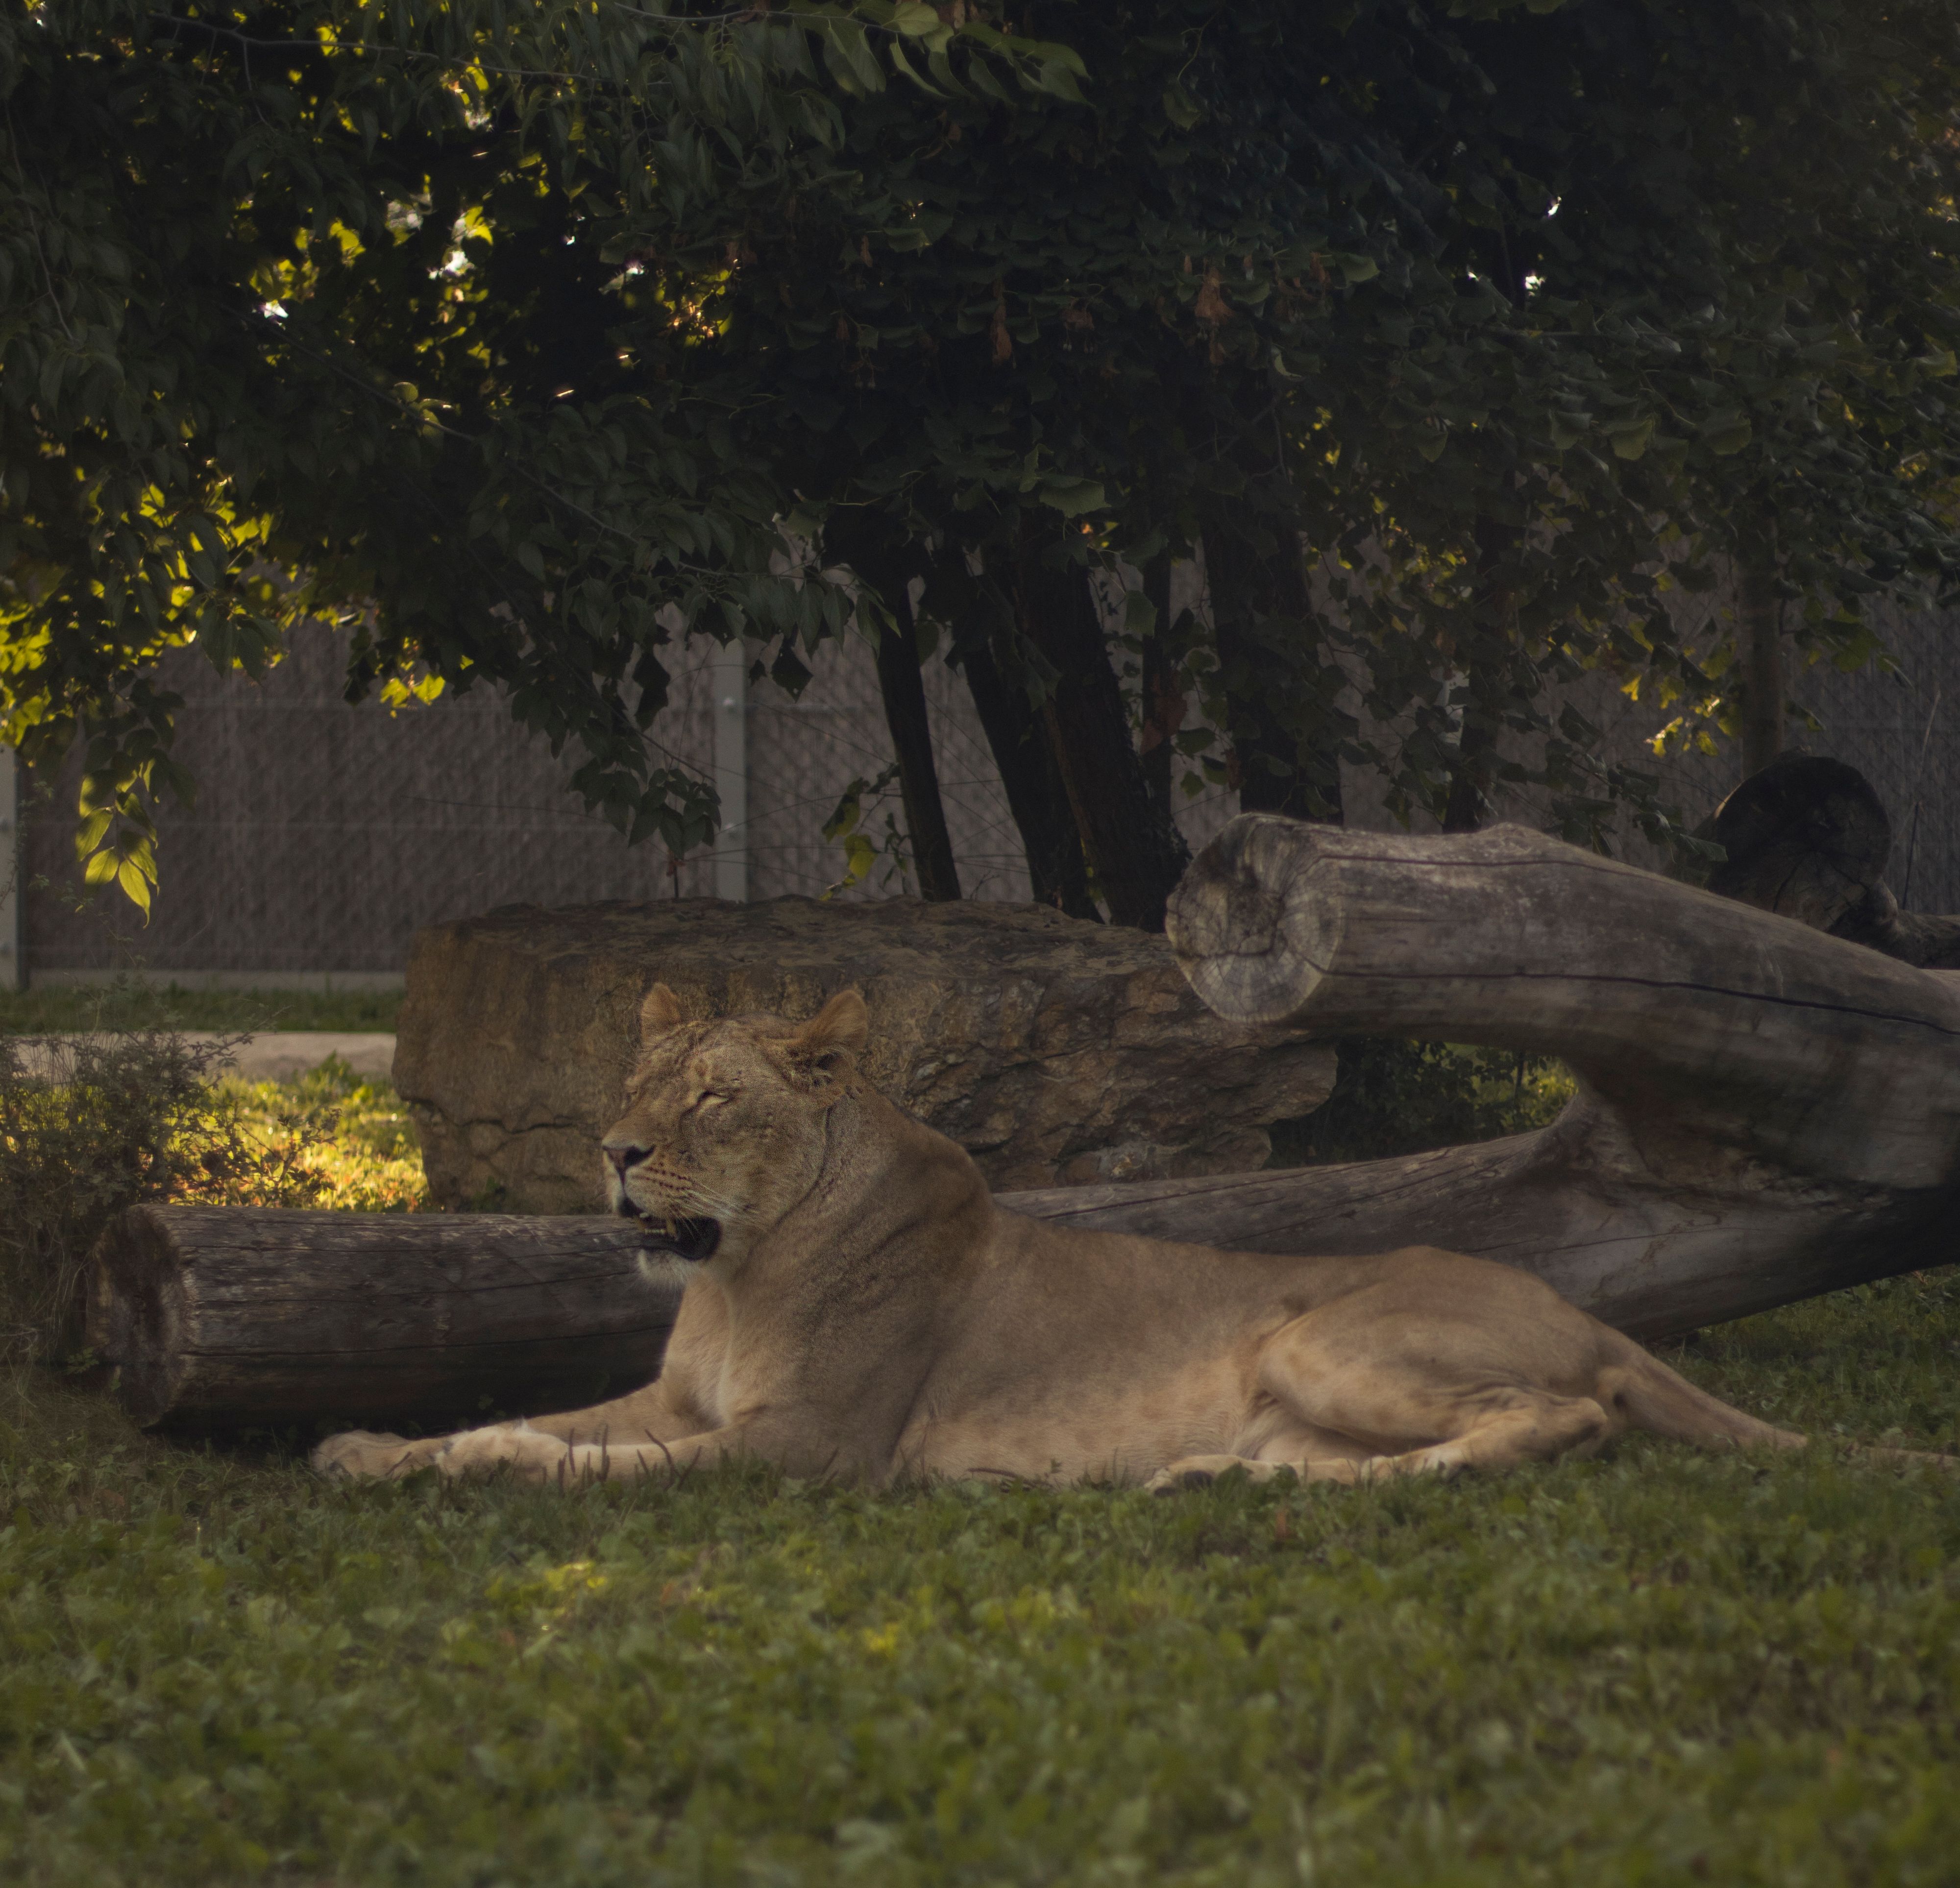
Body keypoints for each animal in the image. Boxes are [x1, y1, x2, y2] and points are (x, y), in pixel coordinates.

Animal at [316, 983, 1869, 1492]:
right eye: (630, 1082)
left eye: (710, 1096)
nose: (616, 1153)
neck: (738, 1273)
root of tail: (1582, 1307)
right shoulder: (682, 1399)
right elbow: (544, 1416)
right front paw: (373, 1446)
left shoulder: (809, 1448)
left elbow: (581, 1457)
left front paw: (461, 1467)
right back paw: (1211, 1480)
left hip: (1323, 1336)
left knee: (1561, 1420)